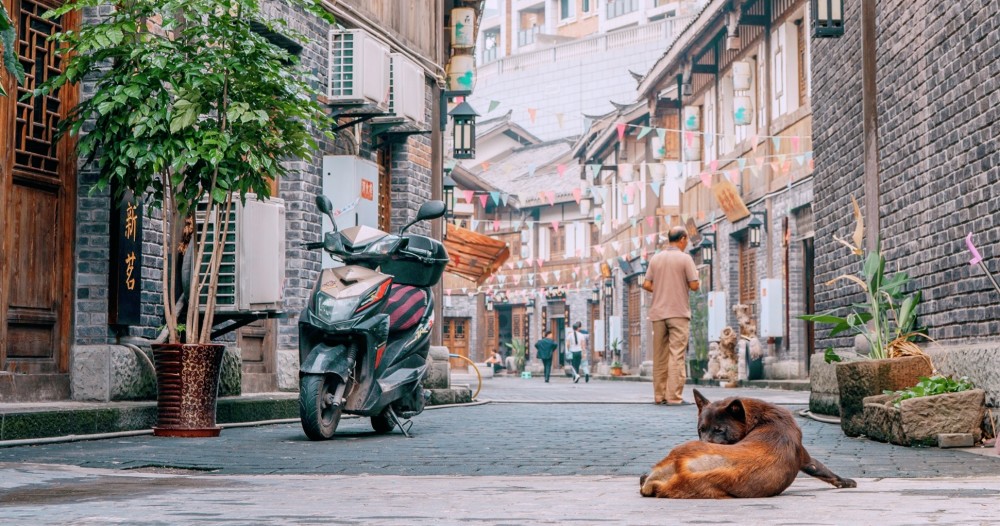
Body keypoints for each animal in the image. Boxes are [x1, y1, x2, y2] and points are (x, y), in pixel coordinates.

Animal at [636, 392, 856, 500]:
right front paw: (845, 481)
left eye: (719, 430)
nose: (703, 440)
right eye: (701, 429)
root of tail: (681, 467)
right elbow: (824, 469)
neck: (763, 418)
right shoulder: (806, 458)